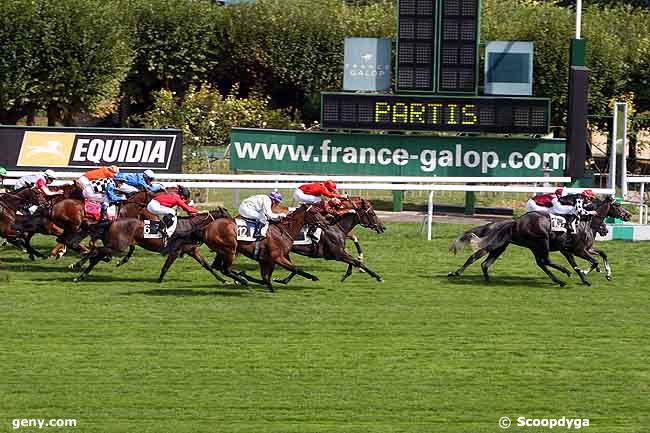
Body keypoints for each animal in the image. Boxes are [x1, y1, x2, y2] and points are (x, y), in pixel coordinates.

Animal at [448, 197, 632, 286]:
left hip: (509, 245)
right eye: (617, 205)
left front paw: (603, 274)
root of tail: (516, 222)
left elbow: (601, 254)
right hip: (540, 241)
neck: (587, 222)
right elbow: (593, 262)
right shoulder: (578, 250)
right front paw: (588, 273)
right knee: (544, 261)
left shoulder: (574, 250)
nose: (628, 215)